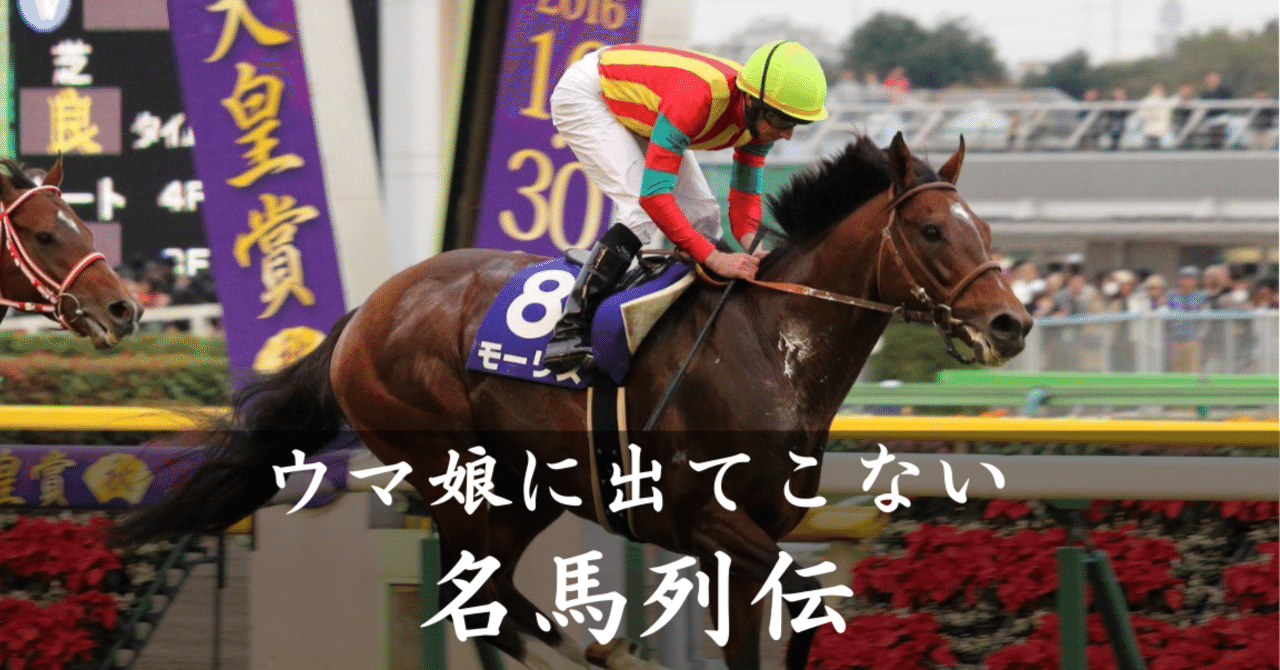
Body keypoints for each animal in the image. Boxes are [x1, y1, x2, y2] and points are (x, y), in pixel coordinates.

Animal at [115, 133, 1032, 670]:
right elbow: (806, 610)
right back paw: (602, 654)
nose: (1011, 323)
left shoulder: (738, 543)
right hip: (448, 466)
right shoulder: (710, 521)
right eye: (932, 232)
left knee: (493, 598)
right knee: (477, 598)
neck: (772, 347)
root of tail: (367, 310)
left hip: (526, 484)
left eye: (986, 228)